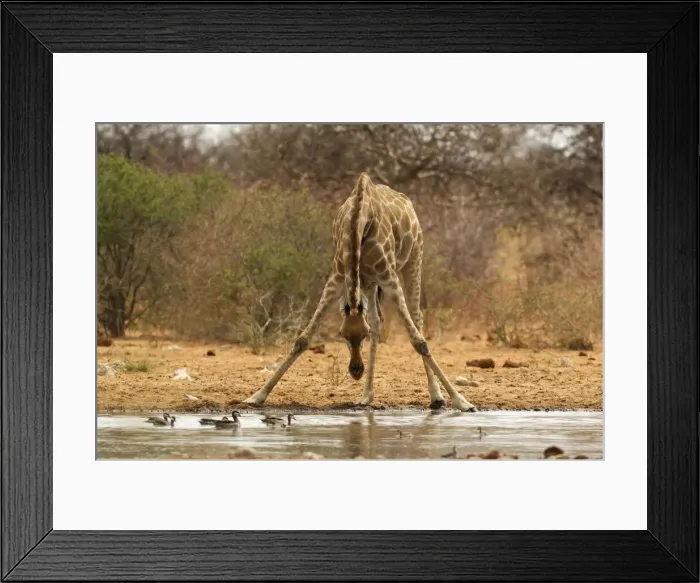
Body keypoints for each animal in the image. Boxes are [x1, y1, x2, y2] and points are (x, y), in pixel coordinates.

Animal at [244, 172, 477, 412]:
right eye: (342, 334)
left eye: (362, 335)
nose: (356, 370)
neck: (357, 221)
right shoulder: (337, 278)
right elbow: (303, 339)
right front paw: (257, 395)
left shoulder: (389, 278)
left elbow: (418, 341)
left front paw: (462, 401)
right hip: (368, 282)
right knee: (376, 320)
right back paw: (366, 396)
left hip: (414, 259)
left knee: (416, 317)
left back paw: (436, 396)